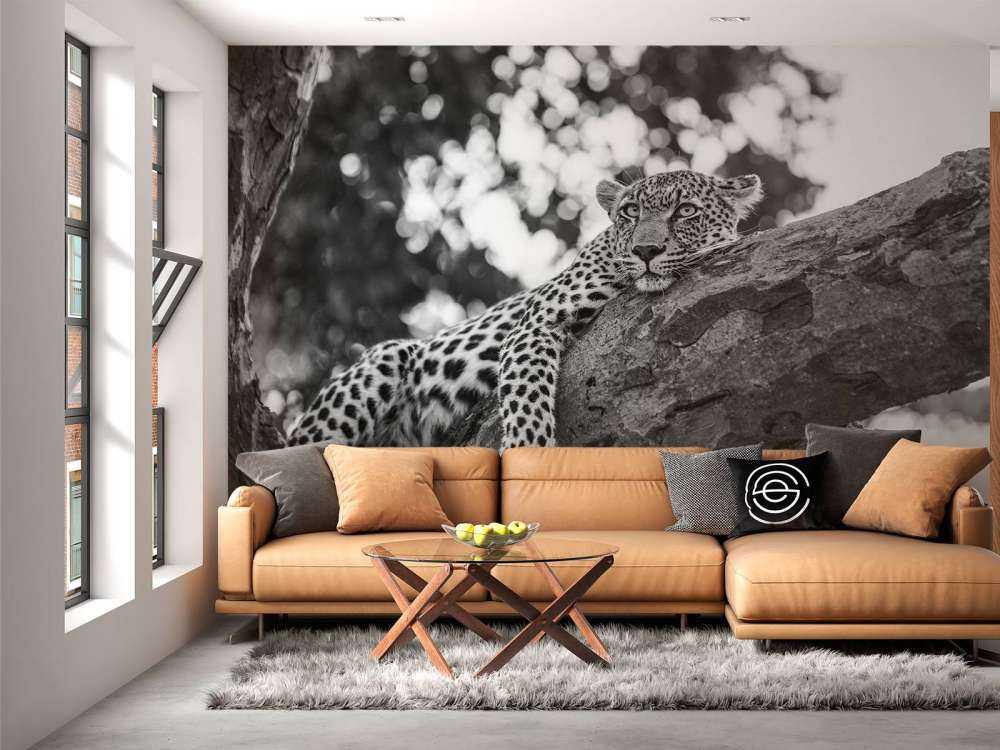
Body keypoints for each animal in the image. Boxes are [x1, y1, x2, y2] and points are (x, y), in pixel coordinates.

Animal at [287, 169, 763, 450]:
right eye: (630, 212)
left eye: (686, 211)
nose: (646, 250)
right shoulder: (535, 322)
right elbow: (527, 397)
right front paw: (528, 454)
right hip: (385, 360)